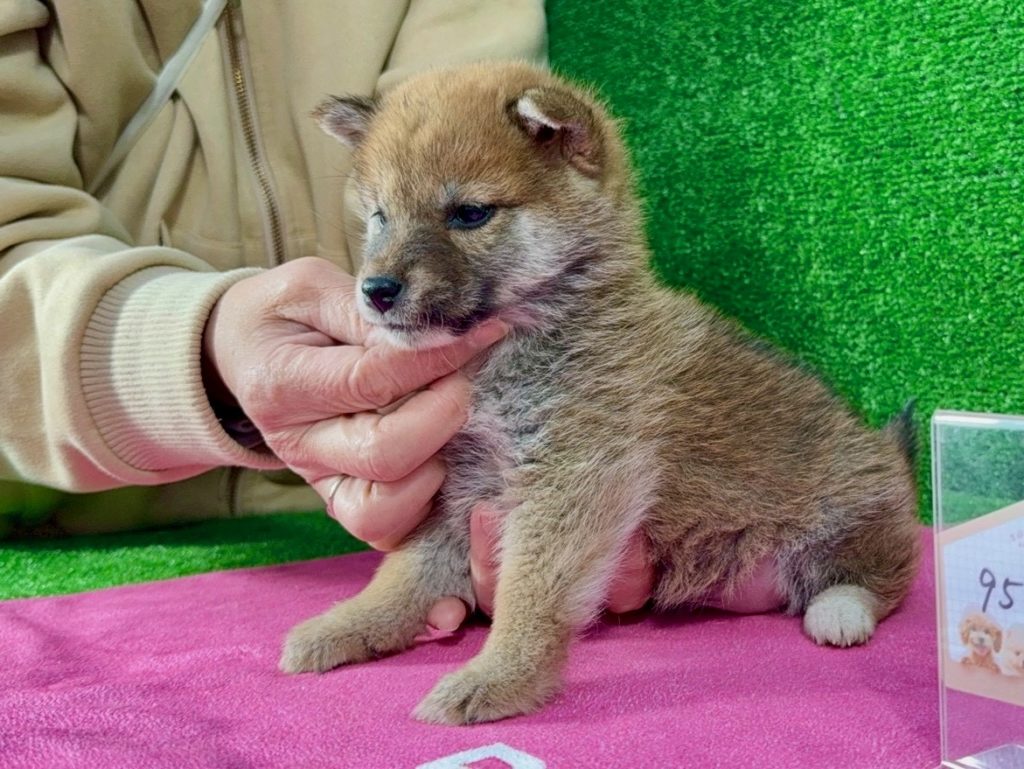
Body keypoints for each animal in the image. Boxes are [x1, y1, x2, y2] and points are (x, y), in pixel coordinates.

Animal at [279, 61, 920, 725]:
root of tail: (888, 452)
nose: (376, 289)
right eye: (380, 216)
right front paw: (352, 624)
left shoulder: (573, 476)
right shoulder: (458, 485)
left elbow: (528, 596)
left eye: (470, 213)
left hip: (850, 511)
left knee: (882, 571)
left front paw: (500, 675)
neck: (515, 346)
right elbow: (406, 571)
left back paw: (841, 609)